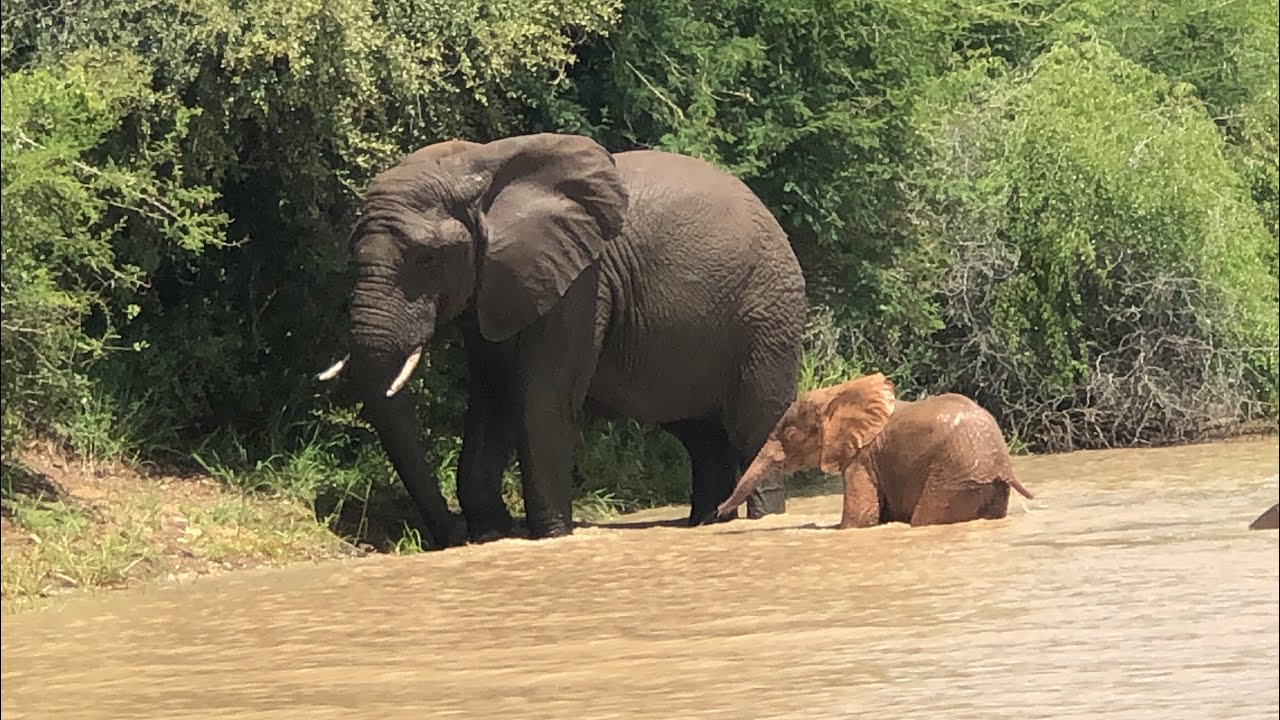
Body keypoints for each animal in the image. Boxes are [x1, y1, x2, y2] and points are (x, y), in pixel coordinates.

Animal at [318, 133, 806, 549]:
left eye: (427, 258)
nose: (452, 536)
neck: (482, 168)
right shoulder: (496, 286)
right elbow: (492, 396)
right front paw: (494, 535)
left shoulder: (581, 285)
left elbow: (539, 397)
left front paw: (550, 537)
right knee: (702, 438)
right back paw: (707, 522)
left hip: (767, 316)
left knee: (753, 428)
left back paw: (762, 519)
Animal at [714, 373, 1034, 528]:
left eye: (789, 434)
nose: (716, 512)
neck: (837, 394)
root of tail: (1003, 467)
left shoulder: (862, 458)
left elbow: (860, 519)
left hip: (955, 476)